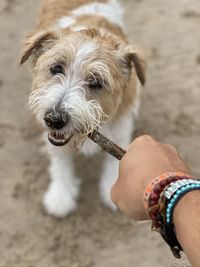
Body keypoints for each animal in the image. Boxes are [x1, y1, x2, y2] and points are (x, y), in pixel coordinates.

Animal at [20, 0, 145, 218]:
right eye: (56, 68)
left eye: (95, 82)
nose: (54, 119)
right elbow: (60, 161)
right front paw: (60, 194)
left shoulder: (121, 126)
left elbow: (116, 160)